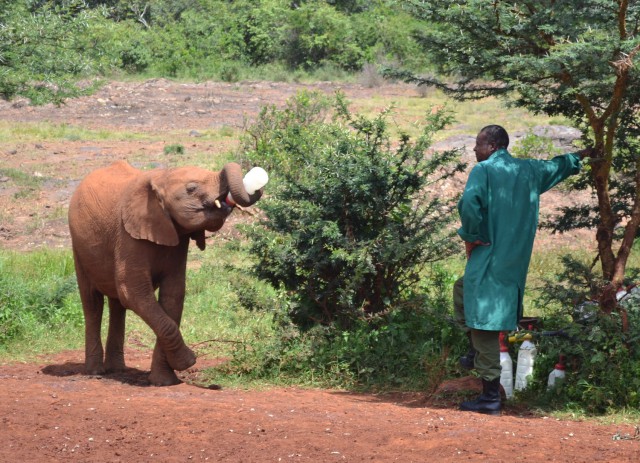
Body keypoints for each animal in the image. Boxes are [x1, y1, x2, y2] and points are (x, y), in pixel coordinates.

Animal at [68, 161, 262, 386]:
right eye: (191, 188)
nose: (257, 182)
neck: (161, 177)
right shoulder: (127, 235)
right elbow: (133, 292)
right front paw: (188, 361)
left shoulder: (177, 238)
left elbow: (173, 295)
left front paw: (164, 381)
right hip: (78, 247)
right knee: (92, 303)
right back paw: (95, 371)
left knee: (117, 305)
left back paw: (117, 369)